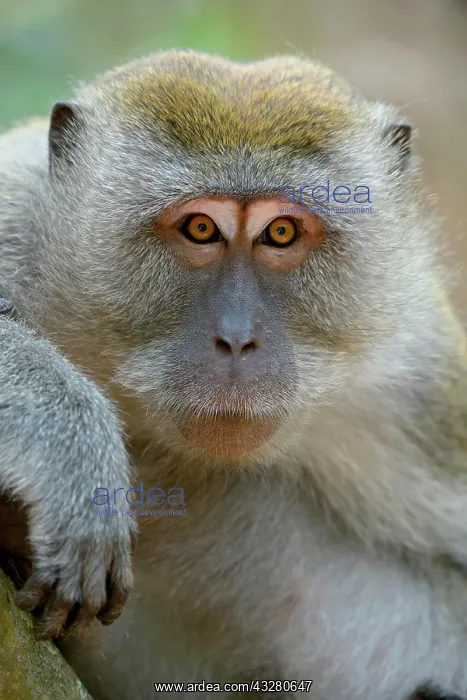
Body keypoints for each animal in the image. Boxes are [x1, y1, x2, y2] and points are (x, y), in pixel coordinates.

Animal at [1, 48, 467, 700]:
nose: (238, 340)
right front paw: (73, 455)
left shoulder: (418, 372)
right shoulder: (16, 214)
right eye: (200, 228)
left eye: (281, 232)